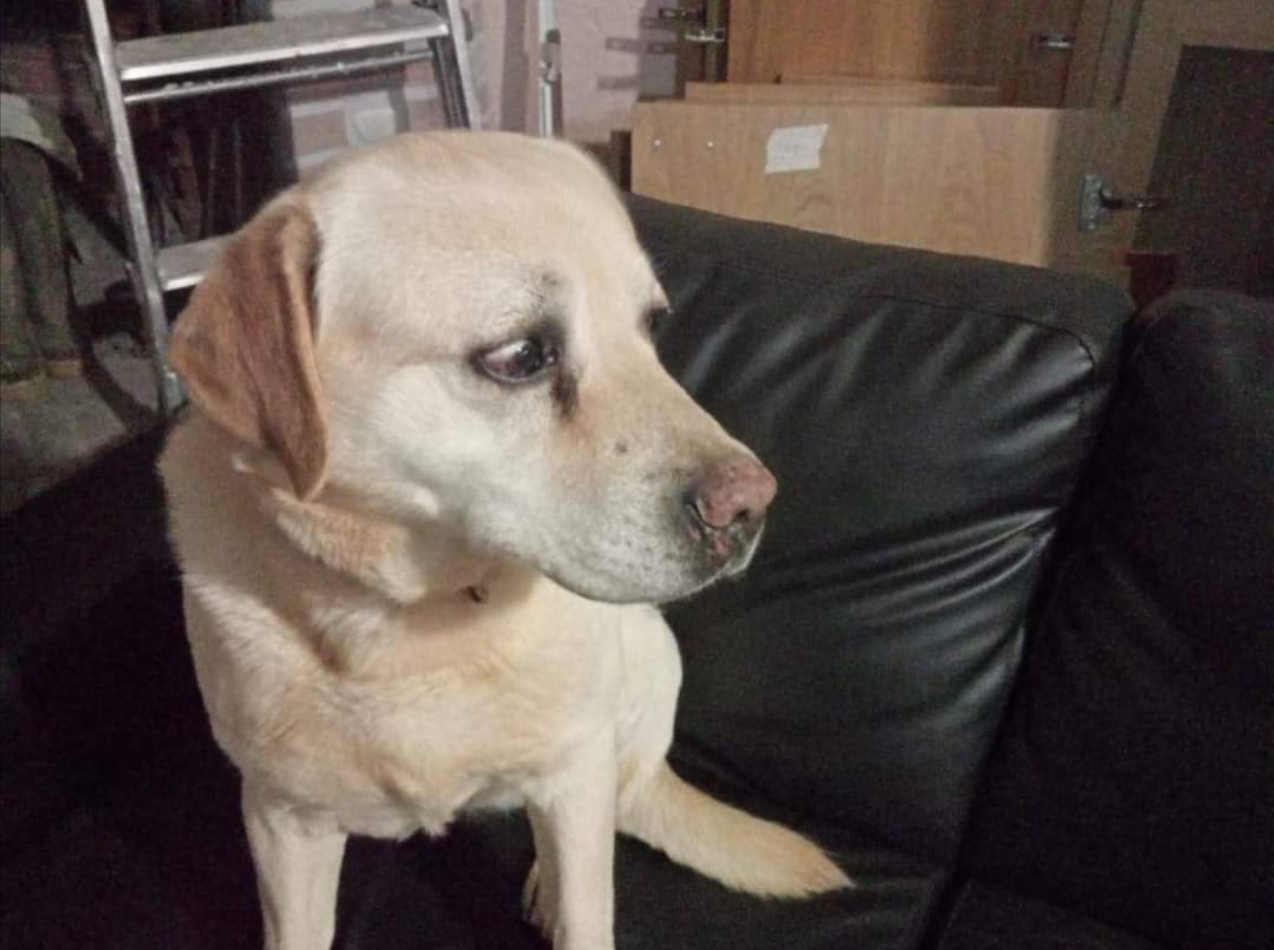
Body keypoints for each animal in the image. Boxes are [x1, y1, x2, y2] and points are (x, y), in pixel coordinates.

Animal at [159, 131, 850, 950]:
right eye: (521, 356)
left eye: (650, 325)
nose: (751, 507)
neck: (413, 625)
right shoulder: (280, 819)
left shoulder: (574, 771)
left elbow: (588, 905)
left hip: (646, 659)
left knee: (619, 800)